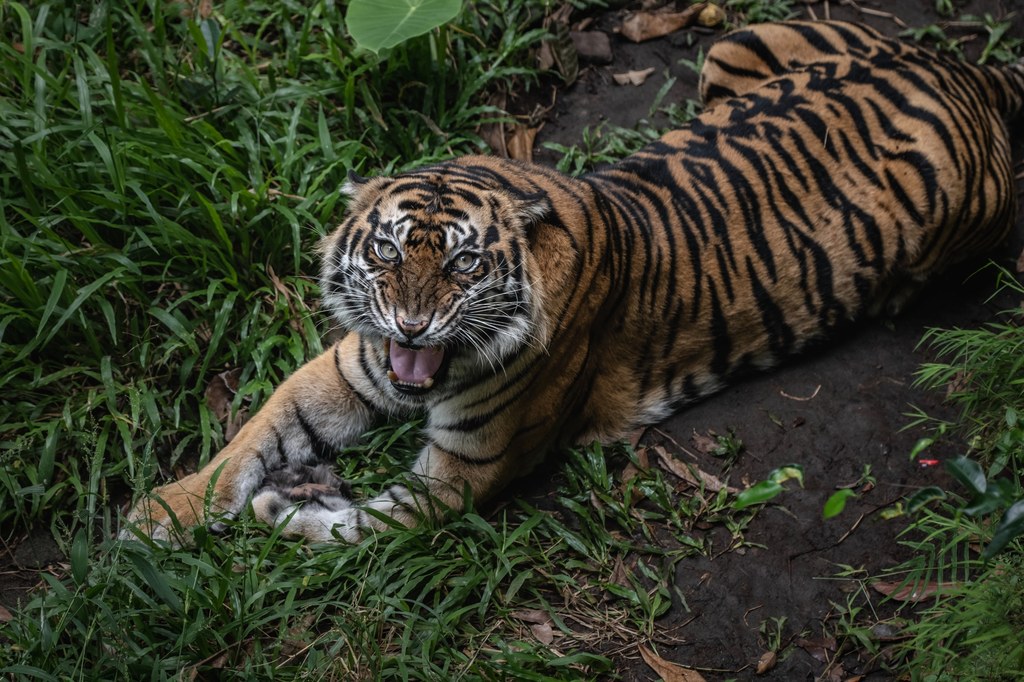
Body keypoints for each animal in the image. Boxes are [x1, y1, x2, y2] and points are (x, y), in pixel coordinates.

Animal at [123, 19, 1024, 540]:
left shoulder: (466, 472)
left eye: (463, 263)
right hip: (735, 46)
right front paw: (163, 515)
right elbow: (247, 438)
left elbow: (363, 530)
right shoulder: (342, 371)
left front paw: (284, 508)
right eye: (385, 252)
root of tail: (958, 68)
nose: (411, 328)